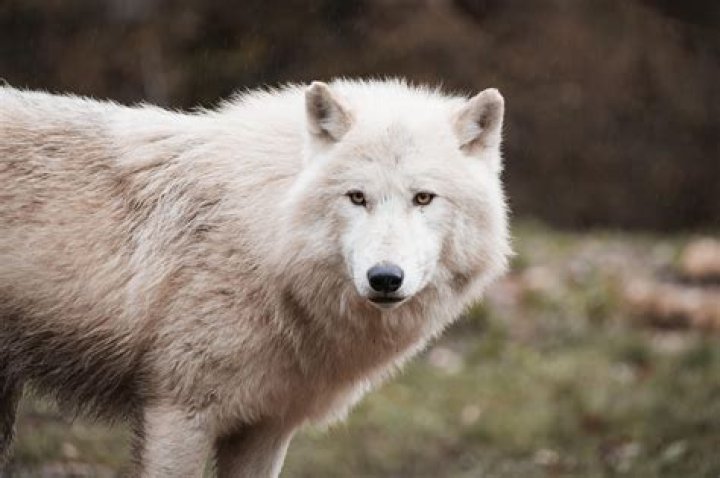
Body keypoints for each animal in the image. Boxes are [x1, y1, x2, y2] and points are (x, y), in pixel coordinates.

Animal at [0, 79, 511, 477]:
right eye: (357, 197)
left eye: (423, 198)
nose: (384, 278)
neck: (266, 241)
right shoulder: (176, 414)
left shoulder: (266, 428)